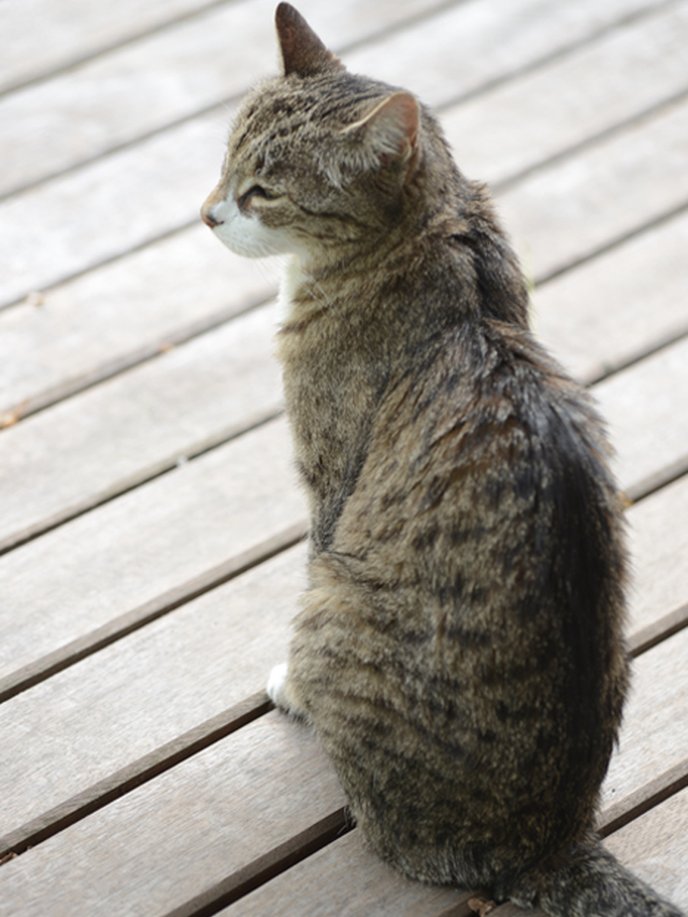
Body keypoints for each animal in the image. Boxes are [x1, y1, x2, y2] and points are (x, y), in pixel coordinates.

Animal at [200, 7, 684, 916]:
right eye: (225, 158)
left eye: (263, 191)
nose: (207, 213)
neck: (435, 229)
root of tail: (549, 841)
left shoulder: (330, 489)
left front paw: (293, 689)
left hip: (338, 596)